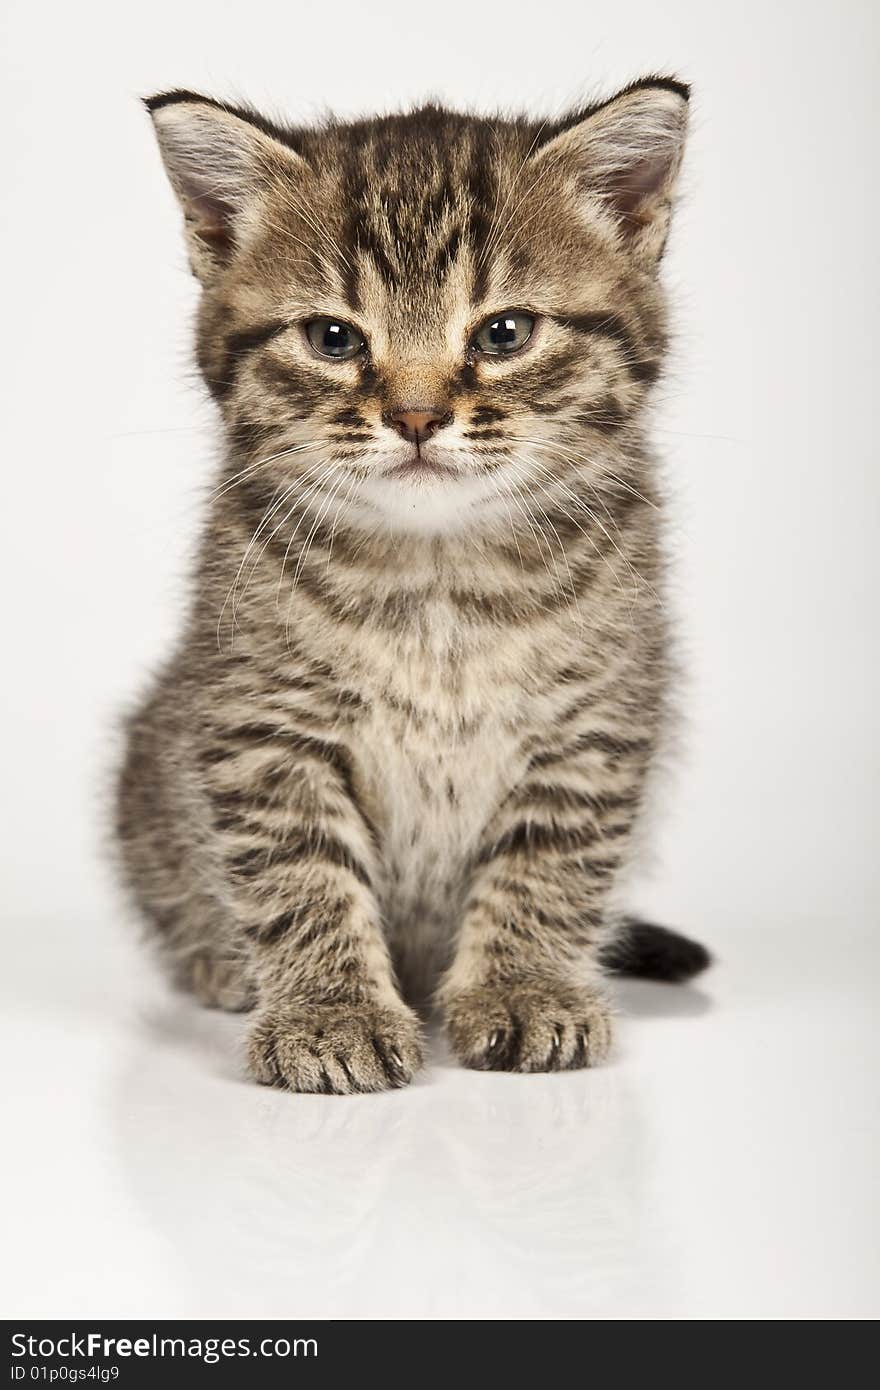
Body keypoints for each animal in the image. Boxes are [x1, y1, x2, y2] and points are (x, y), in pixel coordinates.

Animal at [114, 78, 706, 1095]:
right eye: (332, 338)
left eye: (504, 333)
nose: (419, 415)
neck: (440, 581)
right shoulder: (260, 726)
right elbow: (301, 874)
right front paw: (330, 1012)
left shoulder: (596, 726)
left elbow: (548, 865)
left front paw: (524, 989)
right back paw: (223, 965)